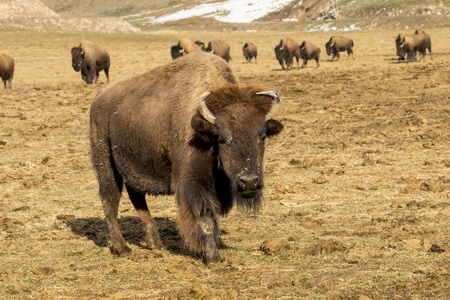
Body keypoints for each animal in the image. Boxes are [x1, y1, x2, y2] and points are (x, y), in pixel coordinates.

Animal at [89, 52, 284, 264]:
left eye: (262, 135)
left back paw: (154, 243)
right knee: (110, 199)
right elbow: (205, 217)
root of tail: (98, 100)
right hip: (105, 163)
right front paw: (212, 256)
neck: (207, 132)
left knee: (137, 198)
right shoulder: (194, 183)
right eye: (222, 138)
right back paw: (122, 248)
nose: (249, 181)